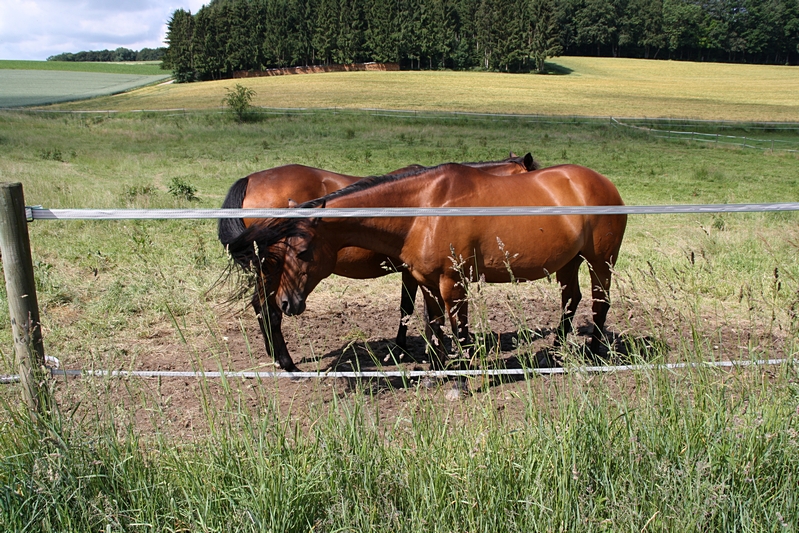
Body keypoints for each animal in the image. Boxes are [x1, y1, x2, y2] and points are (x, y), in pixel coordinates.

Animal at [225, 163, 624, 370]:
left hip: (599, 262)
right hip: (570, 262)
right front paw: (435, 365)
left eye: (304, 250)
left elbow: (456, 330)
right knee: (571, 301)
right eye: (281, 248)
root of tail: (602, 182)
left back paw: (592, 353)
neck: (424, 208)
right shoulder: (426, 280)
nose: (288, 302)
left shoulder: (452, 282)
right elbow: (431, 324)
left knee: (598, 302)